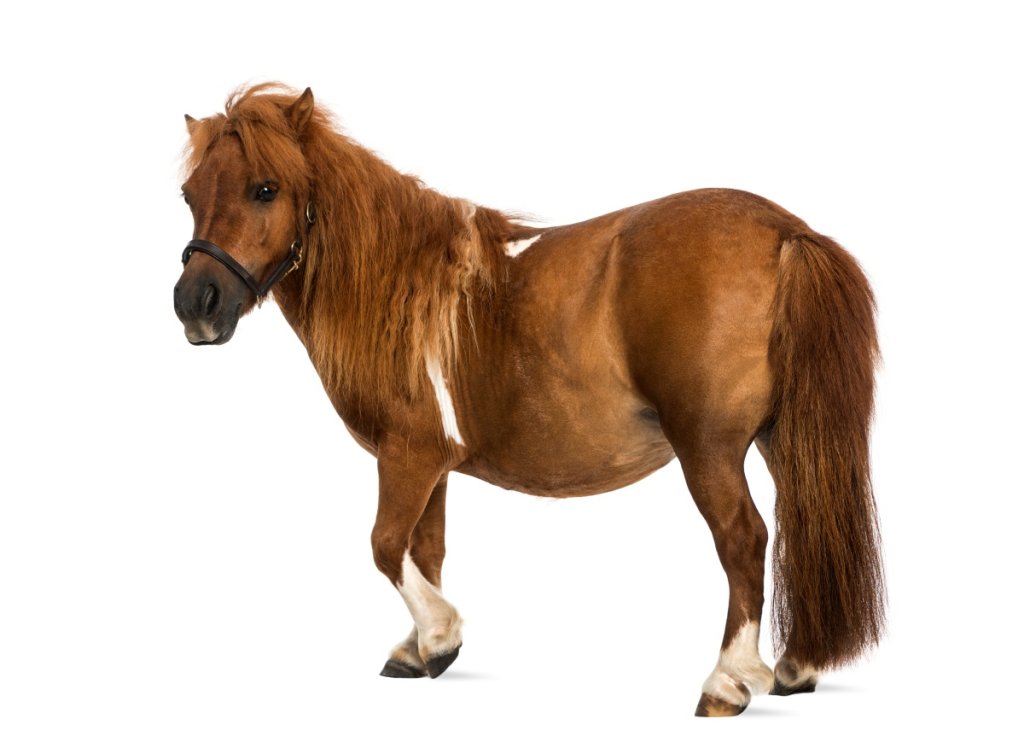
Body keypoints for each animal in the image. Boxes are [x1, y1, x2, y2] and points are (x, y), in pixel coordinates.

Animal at [173, 84, 884, 717]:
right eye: (188, 194)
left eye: (266, 188)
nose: (195, 304)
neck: (406, 283)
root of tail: (785, 231)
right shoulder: (432, 465)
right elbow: (424, 549)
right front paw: (417, 649)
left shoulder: (406, 456)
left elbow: (385, 544)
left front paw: (440, 637)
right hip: (782, 439)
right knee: (804, 525)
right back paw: (796, 667)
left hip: (708, 448)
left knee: (744, 539)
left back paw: (728, 683)